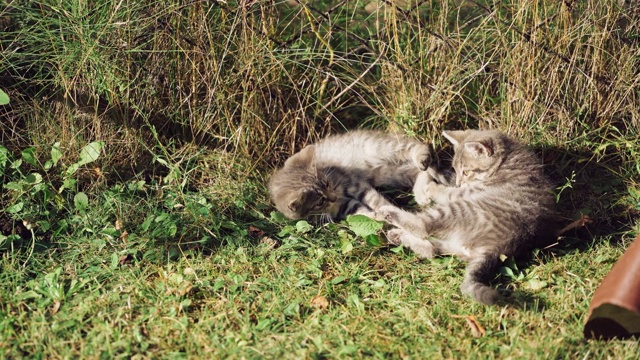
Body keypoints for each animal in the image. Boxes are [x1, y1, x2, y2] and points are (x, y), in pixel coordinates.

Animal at [268, 131, 432, 224]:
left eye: (327, 184)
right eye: (319, 202)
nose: (333, 197)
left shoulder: (355, 184)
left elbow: (376, 201)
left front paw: (391, 212)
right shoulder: (344, 206)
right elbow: (361, 213)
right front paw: (377, 217)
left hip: (380, 148)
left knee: (417, 147)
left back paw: (422, 162)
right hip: (389, 173)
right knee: (416, 172)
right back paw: (421, 193)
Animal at [376, 129, 556, 304]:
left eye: (467, 171)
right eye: (456, 169)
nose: (459, 182)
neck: (505, 161)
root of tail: (496, 249)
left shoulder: (471, 190)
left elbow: (448, 192)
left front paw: (431, 187)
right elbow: (444, 176)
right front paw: (431, 166)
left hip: (458, 210)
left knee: (423, 227)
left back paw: (388, 213)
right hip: (456, 244)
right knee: (431, 249)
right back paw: (397, 235)